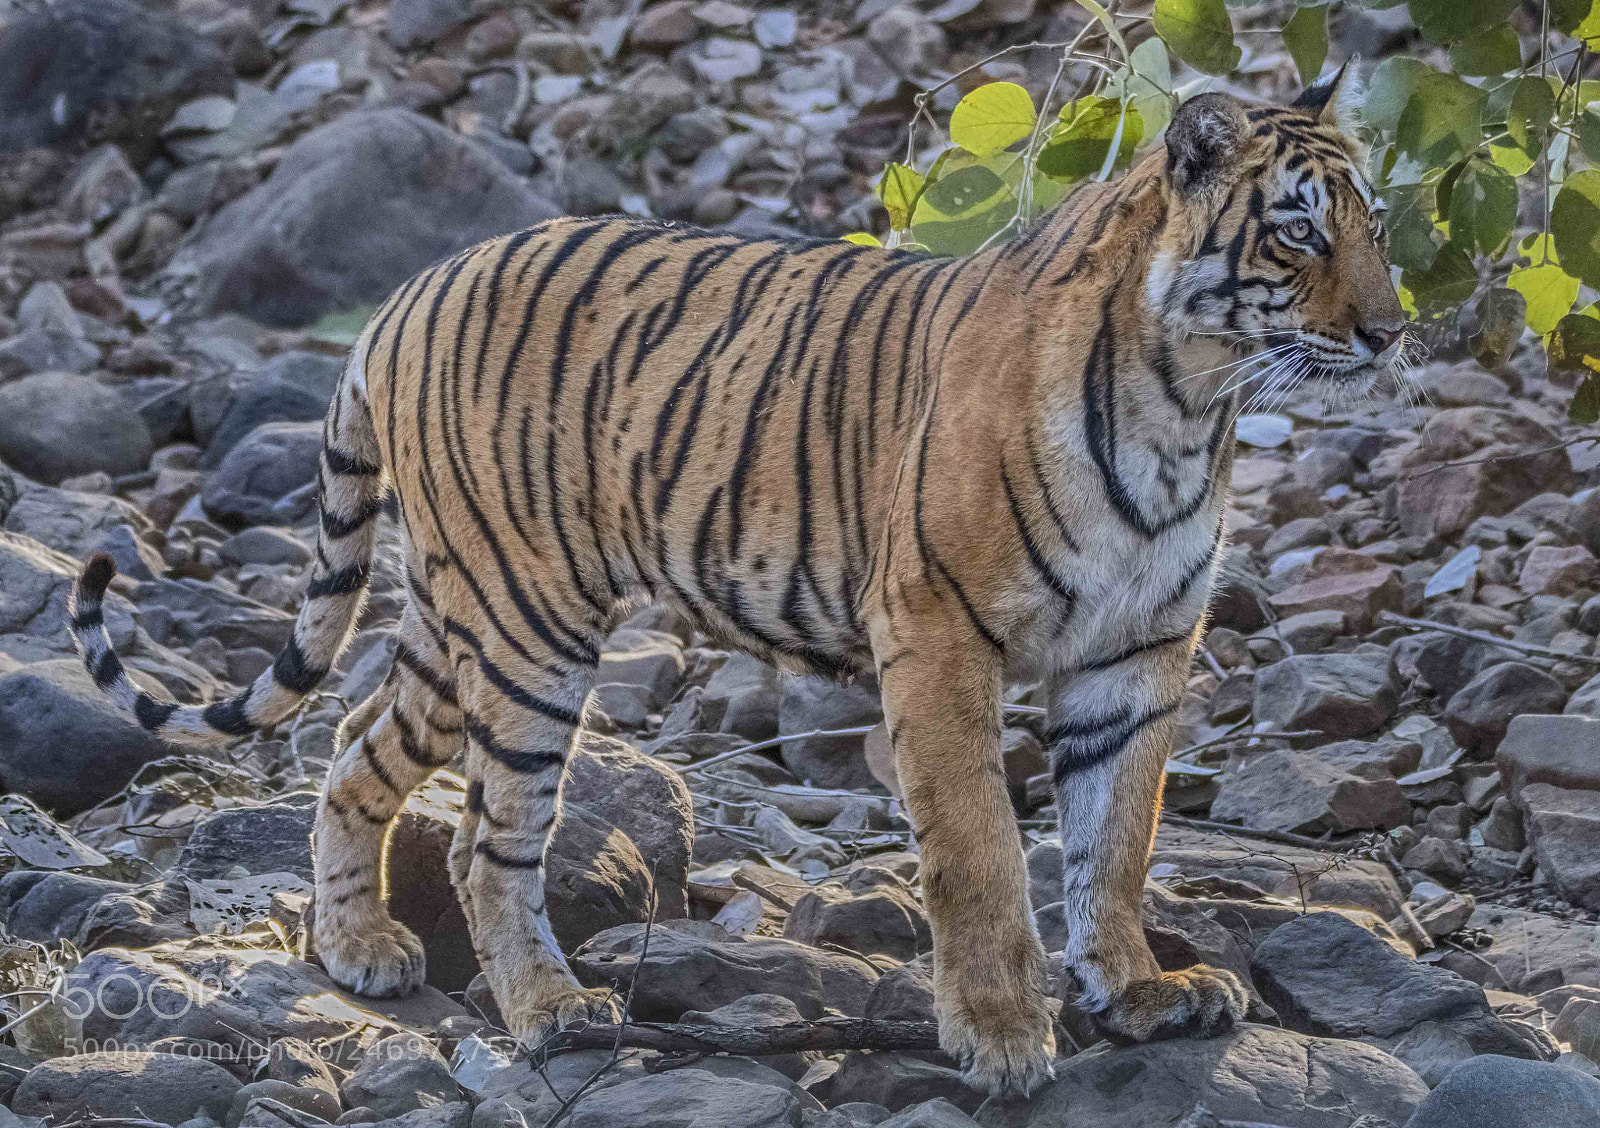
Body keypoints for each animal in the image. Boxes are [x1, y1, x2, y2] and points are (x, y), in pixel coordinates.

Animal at [69, 66, 1405, 1096]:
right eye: (1297, 229)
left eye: (1376, 228)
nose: (1392, 333)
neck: (1187, 399)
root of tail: (408, 292)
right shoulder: (938, 631)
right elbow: (978, 848)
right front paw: (999, 1035)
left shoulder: (1136, 653)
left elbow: (1114, 839)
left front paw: (1136, 991)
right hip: (528, 627)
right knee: (489, 838)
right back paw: (547, 1006)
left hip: (458, 620)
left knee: (354, 744)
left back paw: (357, 945)